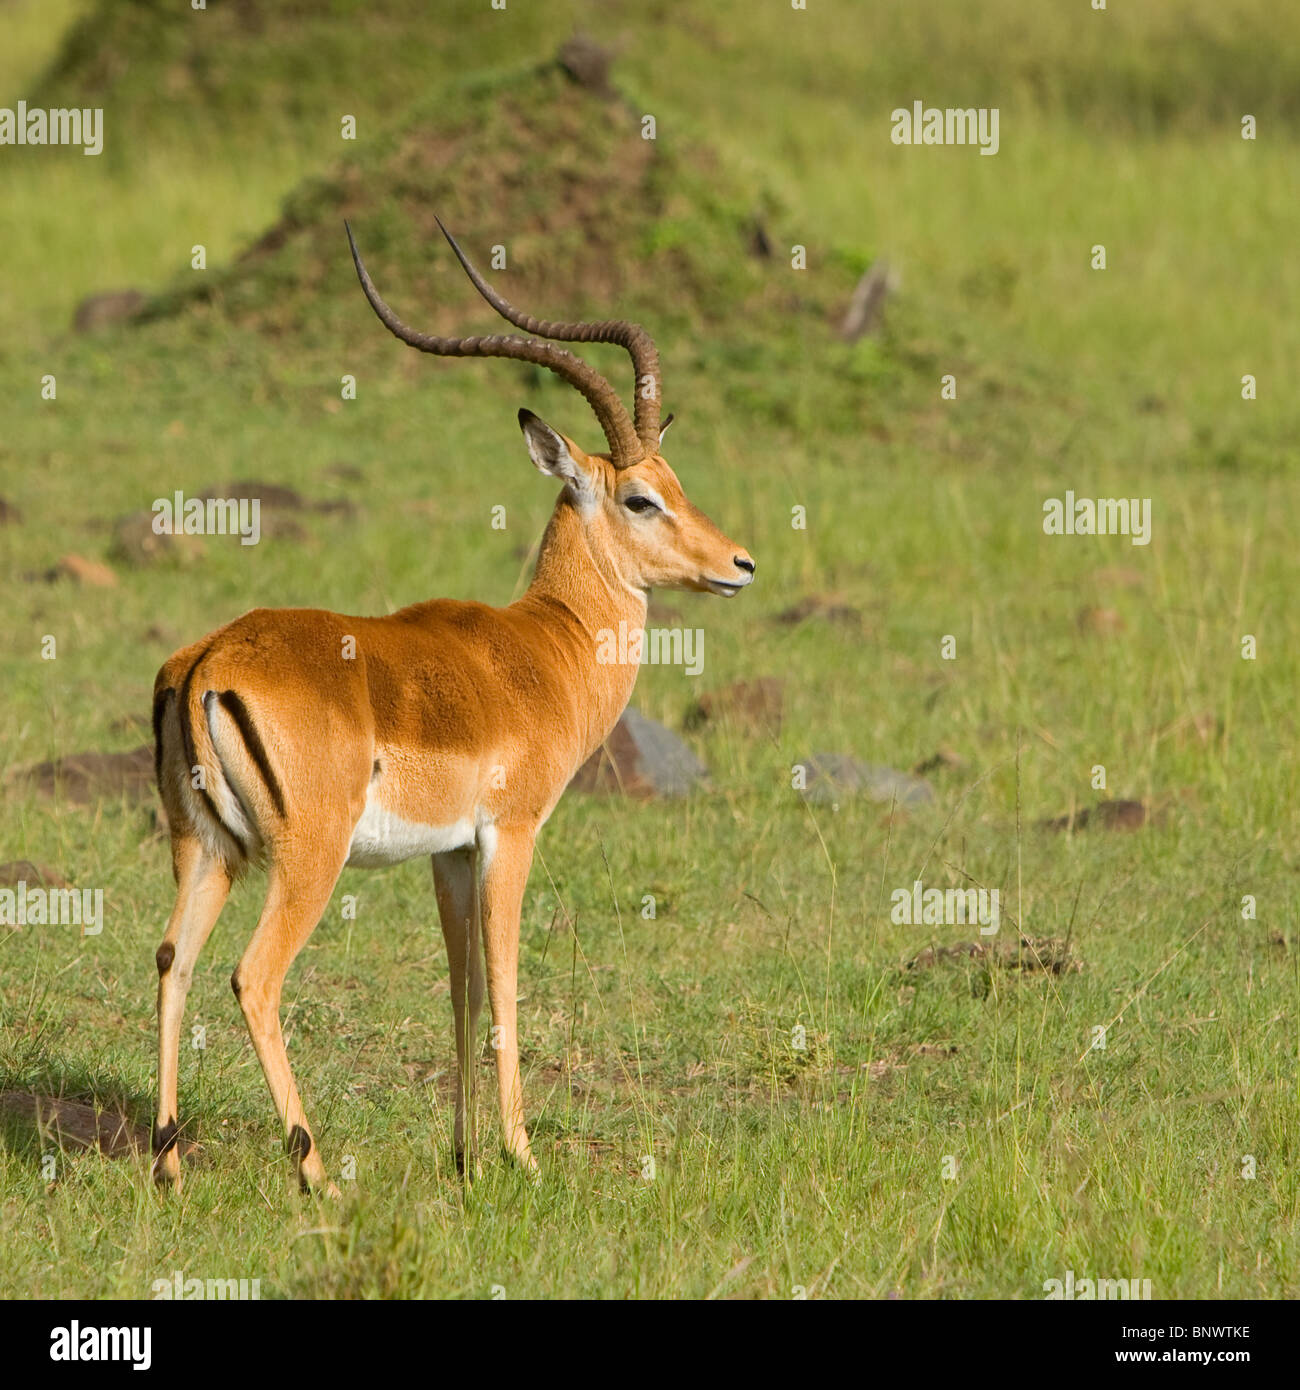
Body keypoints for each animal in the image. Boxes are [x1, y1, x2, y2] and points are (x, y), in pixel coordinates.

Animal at [150, 218, 755, 1193]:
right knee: (253, 976)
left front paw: (468, 1155)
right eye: (640, 497)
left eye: (676, 481)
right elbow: (505, 982)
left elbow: (461, 988)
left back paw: (168, 1165)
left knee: (173, 960)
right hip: (306, 861)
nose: (738, 564)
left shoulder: (450, 854)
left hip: (206, 851)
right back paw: (316, 1172)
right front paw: (523, 1155)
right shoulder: (511, 834)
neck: (547, 647)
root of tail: (208, 661)